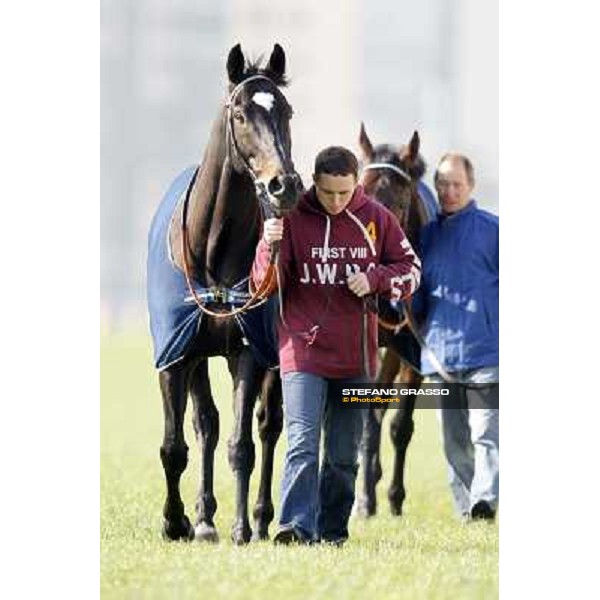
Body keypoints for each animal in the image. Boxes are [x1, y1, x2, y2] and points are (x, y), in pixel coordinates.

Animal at [148, 44, 302, 548]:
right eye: (239, 113)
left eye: (286, 110)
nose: (283, 184)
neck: (212, 253)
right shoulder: (177, 350)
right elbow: (177, 444)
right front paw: (178, 521)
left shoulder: (249, 351)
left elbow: (243, 443)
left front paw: (240, 527)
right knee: (206, 425)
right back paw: (204, 517)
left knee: (268, 425)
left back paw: (261, 516)